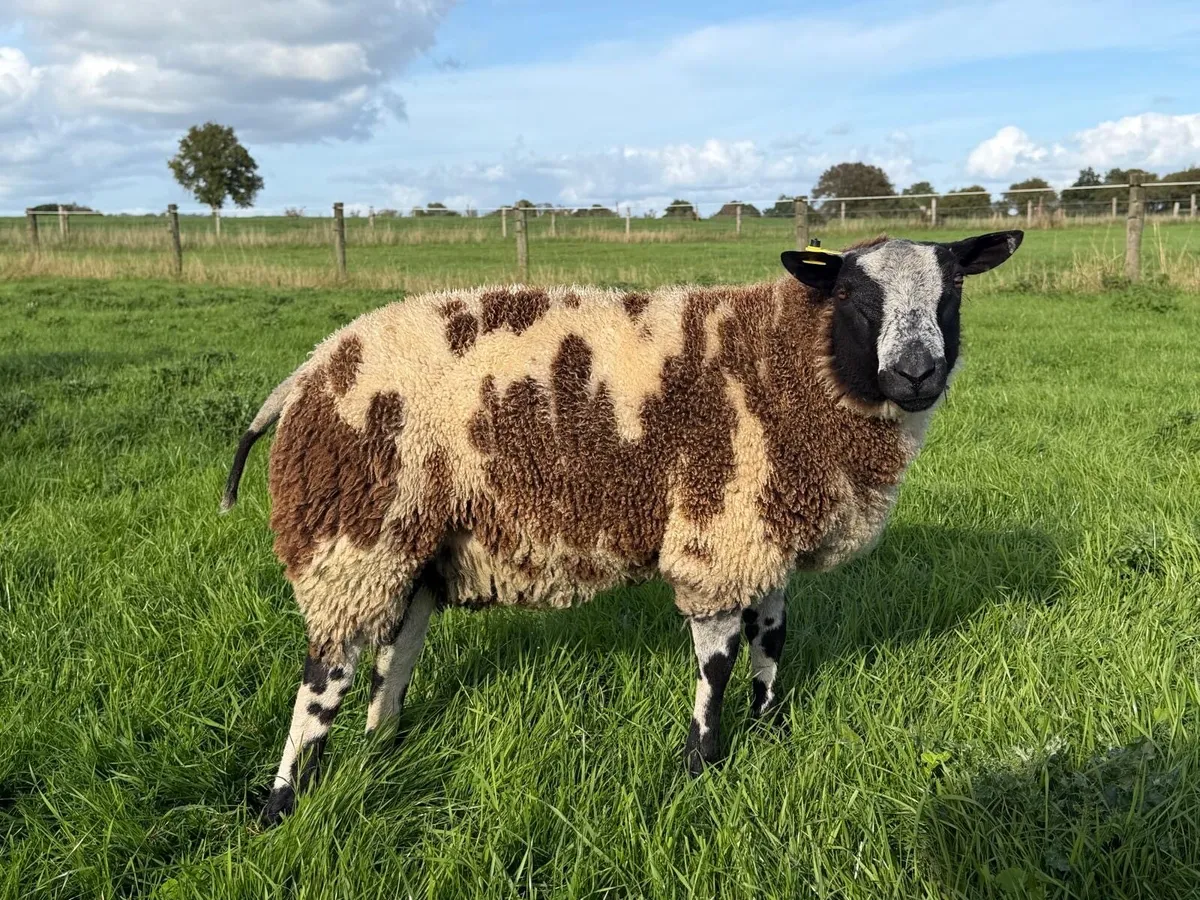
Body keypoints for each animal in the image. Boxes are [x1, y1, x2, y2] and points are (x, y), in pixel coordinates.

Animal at [223, 230, 1024, 825]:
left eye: (953, 289)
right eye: (856, 295)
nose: (917, 372)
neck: (789, 362)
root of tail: (308, 370)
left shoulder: (764, 528)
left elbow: (771, 638)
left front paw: (770, 729)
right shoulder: (717, 529)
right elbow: (717, 661)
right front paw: (702, 762)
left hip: (413, 538)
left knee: (395, 652)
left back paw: (381, 747)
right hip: (352, 530)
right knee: (324, 675)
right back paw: (282, 803)